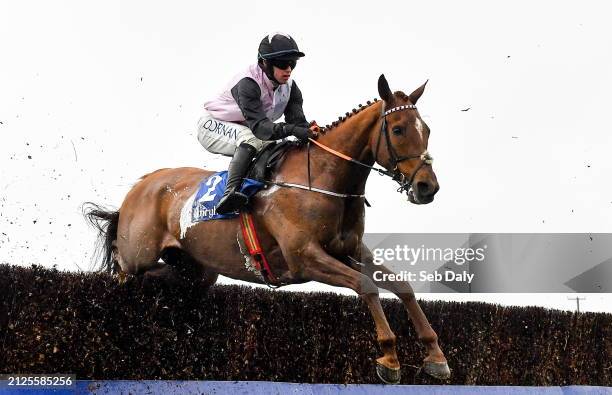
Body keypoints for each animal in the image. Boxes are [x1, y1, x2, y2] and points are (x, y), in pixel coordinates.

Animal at [83, 74, 450, 384]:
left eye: (428, 130)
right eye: (399, 129)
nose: (427, 187)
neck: (324, 178)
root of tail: (142, 184)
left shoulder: (350, 250)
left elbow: (402, 286)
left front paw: (436, 356)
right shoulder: (304, 257)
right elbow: (367, 286)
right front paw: (389, 358)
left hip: (197, 270)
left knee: (163, 279)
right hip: (138, 254)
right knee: (123, 272)